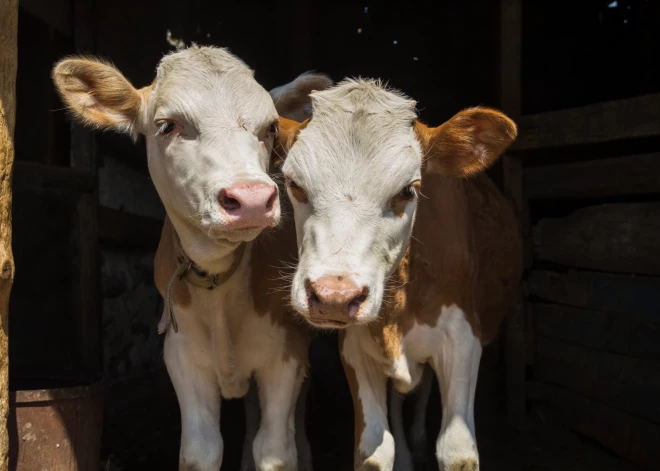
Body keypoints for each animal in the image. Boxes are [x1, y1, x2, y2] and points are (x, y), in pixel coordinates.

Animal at [52, 45, 330, 471]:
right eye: (167, 125)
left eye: (269, 128)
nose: (251, 199)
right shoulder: (181, 355)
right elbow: (202, 449)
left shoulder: (286, 351)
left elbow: (275, 450)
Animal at [274, 79, 520, 470]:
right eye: (294, 184)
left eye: (408, 190)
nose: (333, 297)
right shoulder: (356, 349)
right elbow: (374, 448)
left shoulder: (462, 338)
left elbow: (457, 451)